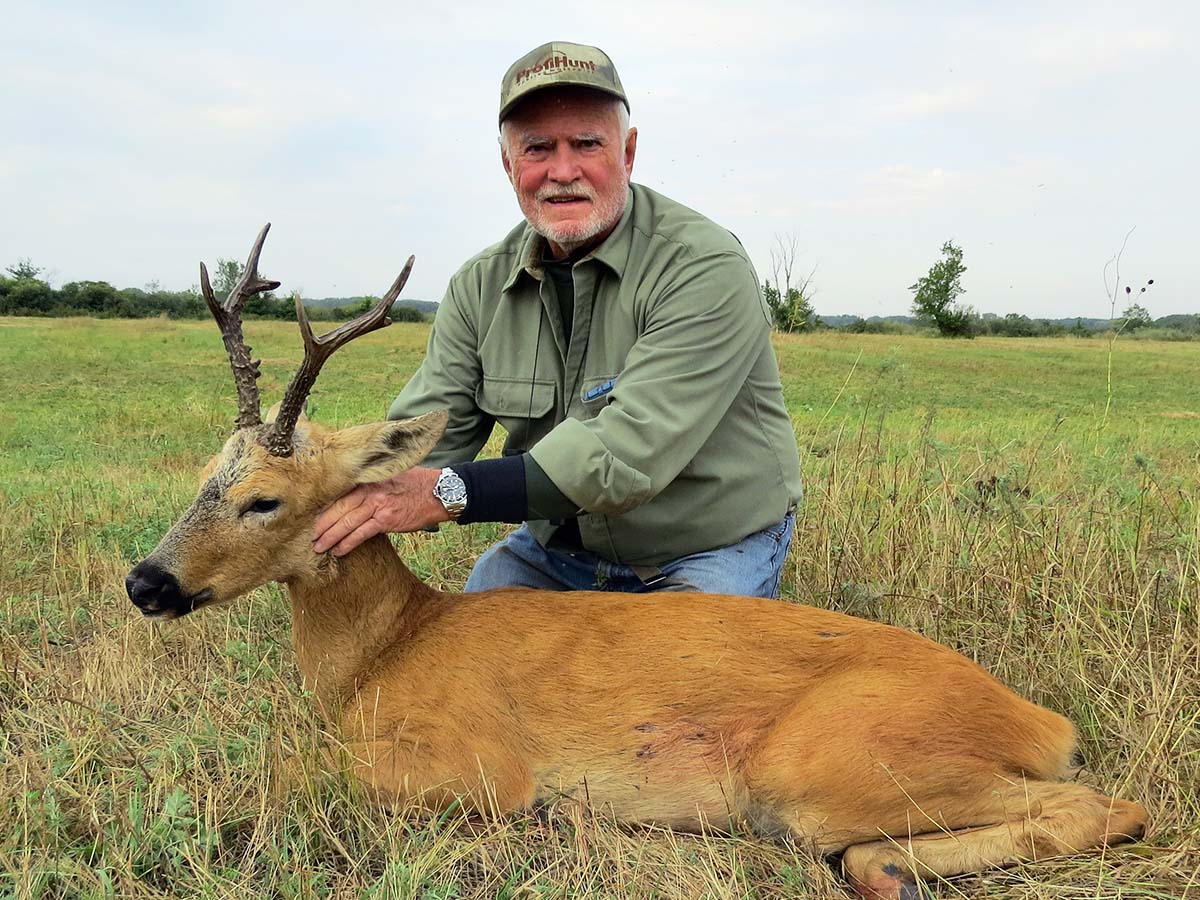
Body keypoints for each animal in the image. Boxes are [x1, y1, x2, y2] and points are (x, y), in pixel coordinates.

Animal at [125, 225, 1147, 900]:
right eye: (208, 470)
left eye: (266, 498)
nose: (146, 582)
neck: (385, 651)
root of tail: (1039, 717)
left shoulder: (479, 766)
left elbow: (288, 770)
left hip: (830, 764)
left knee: (1107, 806)